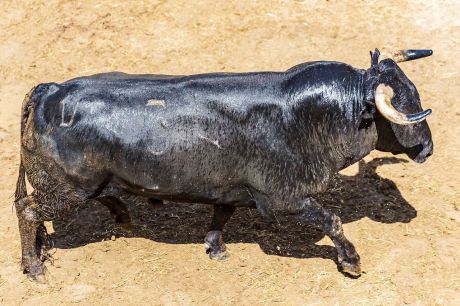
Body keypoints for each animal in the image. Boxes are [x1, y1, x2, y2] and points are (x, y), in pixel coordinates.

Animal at [12, 49, 434, 280]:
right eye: (405, 103)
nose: (428, 148)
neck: (305, 116)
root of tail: (49, 90)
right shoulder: (283, 199)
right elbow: (332, 221)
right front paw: (351, 262)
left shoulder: (230, 188)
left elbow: (221, 215)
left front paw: (215, 247)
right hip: (65, 188)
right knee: (28, 209)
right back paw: (34, 266)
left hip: (83, 185)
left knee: (94, 197)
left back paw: (120, 217)